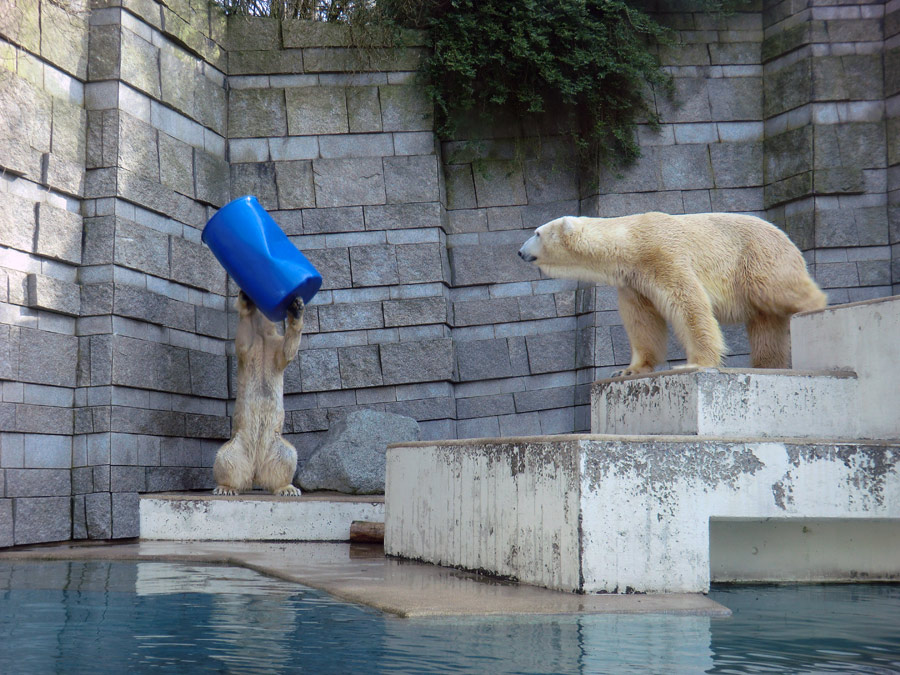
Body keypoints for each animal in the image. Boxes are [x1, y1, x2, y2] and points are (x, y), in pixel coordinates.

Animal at [212, 290, 306, 496]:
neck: (263, 334)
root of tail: (255, 471)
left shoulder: (273, 346)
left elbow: (287, 352)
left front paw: (296, 309)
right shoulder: (251, 348)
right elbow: (243, 340)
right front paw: (246, 301)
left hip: (275, 444)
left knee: (287, 456)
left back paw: (287, 488)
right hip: (238, 444)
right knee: (225, 460)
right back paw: (225, 488)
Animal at [516, 213, 828, 374]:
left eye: (537, 233)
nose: (519, 252)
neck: (630, 240)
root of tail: (786, 238)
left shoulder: (663, 256)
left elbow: (688, 304)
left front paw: (695, 363)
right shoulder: (633, 280)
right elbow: (642, 322)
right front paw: (628, 370)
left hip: (758, 259)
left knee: (778, 291)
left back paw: (817, 309)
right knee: (766, 326)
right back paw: (767, 365)